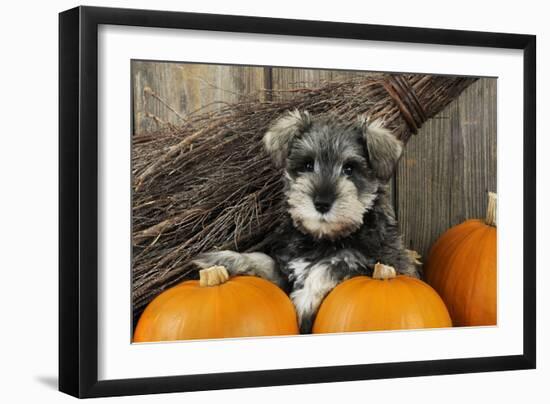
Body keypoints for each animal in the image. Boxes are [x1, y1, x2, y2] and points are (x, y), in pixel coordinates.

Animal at [196, 109, 420, 332]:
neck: (323, 239)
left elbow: (330, 266)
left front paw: (303, 301)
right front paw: (223, 260)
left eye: (349, 169)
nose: (322, 203)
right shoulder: (285, 268)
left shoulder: (375, 262)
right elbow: (264, 260)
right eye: (307, 164)